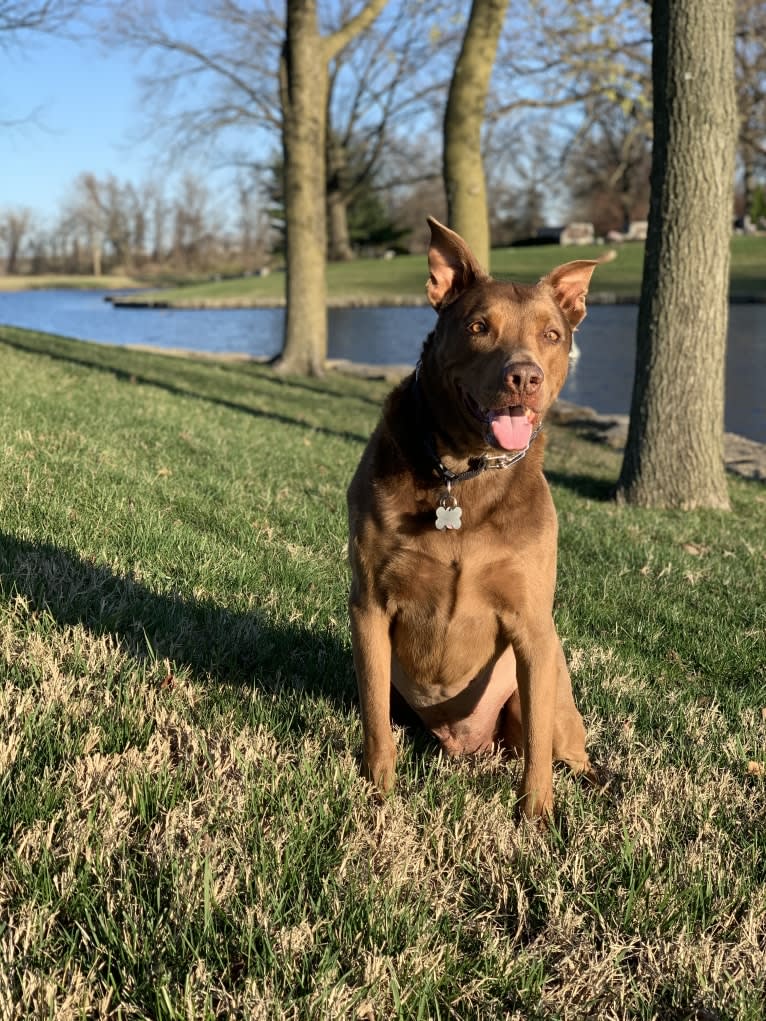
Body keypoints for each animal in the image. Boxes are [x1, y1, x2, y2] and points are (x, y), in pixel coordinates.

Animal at [347, 219, 612, 816]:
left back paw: (598, 783)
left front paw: (536, 817)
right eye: (478, 327)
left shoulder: (533, 626)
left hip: (554, 693)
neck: (462, 477)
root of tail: (467, 746)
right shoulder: (369, 604)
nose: (524, 377)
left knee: (562, 745)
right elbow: (374, 715)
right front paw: (379, 791)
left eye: (552, 335)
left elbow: (537, 745)